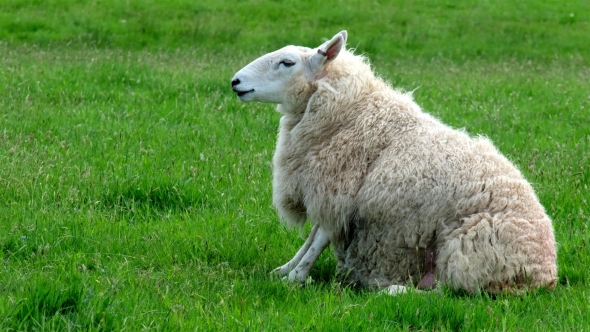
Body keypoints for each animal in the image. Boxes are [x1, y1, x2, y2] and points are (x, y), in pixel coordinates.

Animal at [231, 30, 560, 294]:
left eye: (287, 63)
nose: (235, 81)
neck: (352, 113)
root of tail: (545, 272)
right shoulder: (325, 192)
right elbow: (313, 237)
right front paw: (285, 269)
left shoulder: (340, 191)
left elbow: (319, 239)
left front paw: (296, 278)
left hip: (467, 250)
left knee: (451, 293)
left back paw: (394, 290)